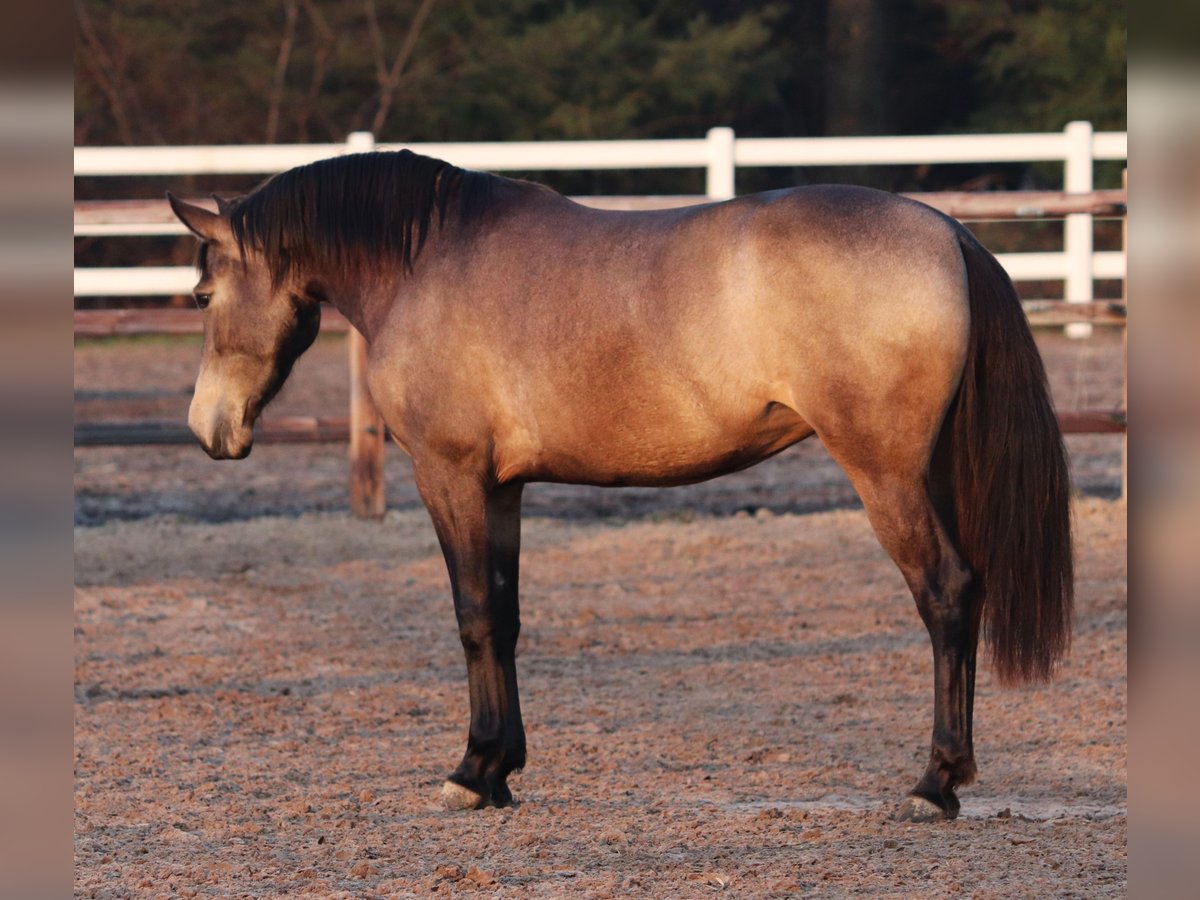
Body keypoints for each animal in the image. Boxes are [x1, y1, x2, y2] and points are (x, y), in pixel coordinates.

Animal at [166, 150, 1070, 825]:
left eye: (204, 296)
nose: (208, 429)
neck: (426, 262)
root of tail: (947, 230)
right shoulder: (502, 488)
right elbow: (504, 618)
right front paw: (501, 768)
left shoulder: (449, 475)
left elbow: (472, 617)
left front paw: (470, 771)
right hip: (930, 472)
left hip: (886, 474)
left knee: (947, 593)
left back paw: (935, 783)